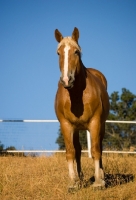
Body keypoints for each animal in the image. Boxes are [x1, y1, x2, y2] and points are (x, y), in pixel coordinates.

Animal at [54, 27, 109, 190]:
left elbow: (96, 150)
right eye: (58, 53)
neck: (76, 95)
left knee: (99, 147)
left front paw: (98, 182)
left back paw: (101, 176)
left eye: (76, 52)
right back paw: (80, 178)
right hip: (76, 129)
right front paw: (73, 182)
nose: (67, 80)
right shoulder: (66, 125)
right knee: (77, 150)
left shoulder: (95, 122)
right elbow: (71, 152)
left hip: (101, 125)